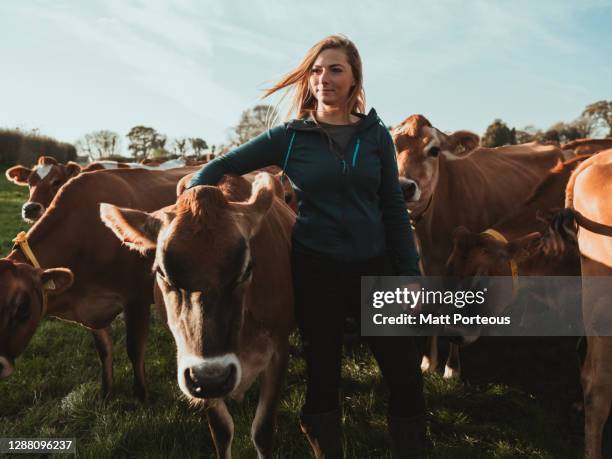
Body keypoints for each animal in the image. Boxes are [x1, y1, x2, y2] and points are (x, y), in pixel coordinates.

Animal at [0, 165, 196, 398]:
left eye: (22, 306)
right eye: (29, 182)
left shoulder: (136, 298)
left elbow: (135, 349)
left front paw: (142, 395)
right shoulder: (91, 307)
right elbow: (104, 351)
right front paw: (106, 393)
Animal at [99, 173, 296, 459]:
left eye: (247, 269)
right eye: (161, 272)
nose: (212, 377)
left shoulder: (279, 351)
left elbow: (262, 431)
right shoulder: (192, 368)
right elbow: (222, 431)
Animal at [392, 115, 564, 378]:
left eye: (434, 150)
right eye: (392, 144)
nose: (404, 186)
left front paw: (452, 368)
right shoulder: (430, 267)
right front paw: (428, 361)